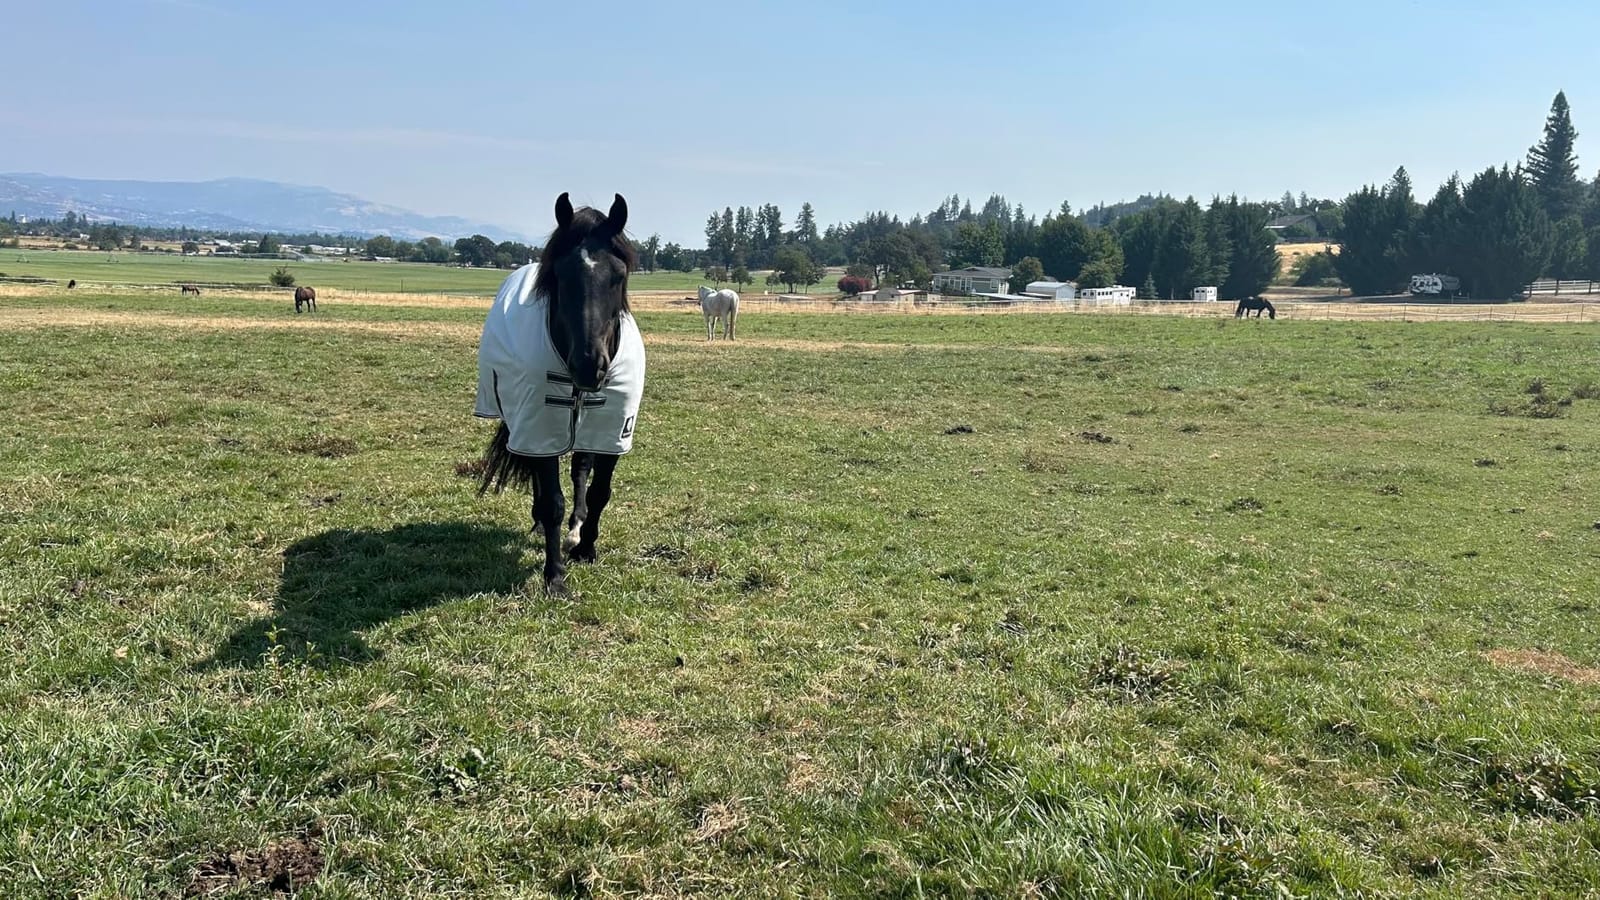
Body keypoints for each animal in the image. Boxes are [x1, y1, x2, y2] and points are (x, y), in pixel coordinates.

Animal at [475, 193, 641, 595]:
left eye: (619, 276)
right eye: (561, 276)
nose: (589, 365)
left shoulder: (612, 430)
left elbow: (599, 491)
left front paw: (587, 548)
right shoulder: (539, 427)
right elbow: (552, 499)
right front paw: (555, 575)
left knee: (581, 468)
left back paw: (576, 529)